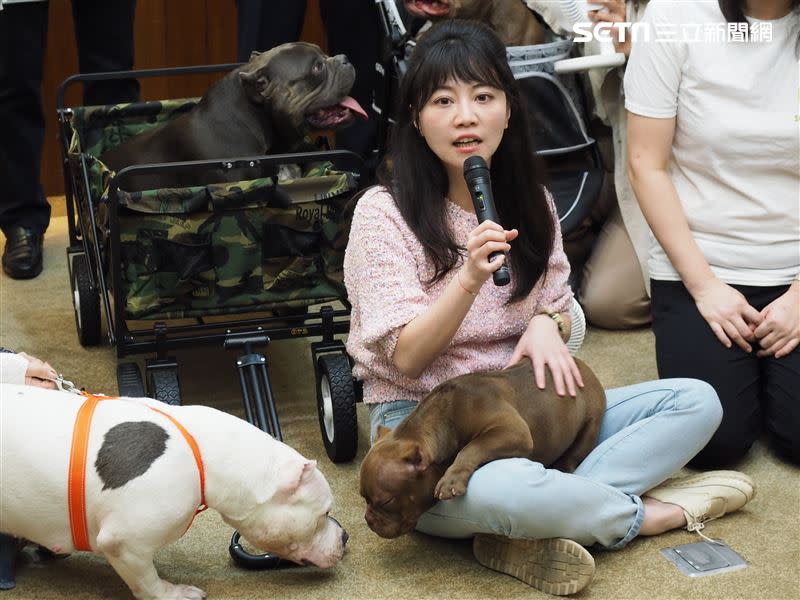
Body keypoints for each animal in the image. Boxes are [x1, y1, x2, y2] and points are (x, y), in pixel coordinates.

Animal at [0, 384, 346, 600]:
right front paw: (174, 592)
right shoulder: (124, 543)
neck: (204, 453)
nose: (345, 537)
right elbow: (147, 583)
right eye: (325, 512)